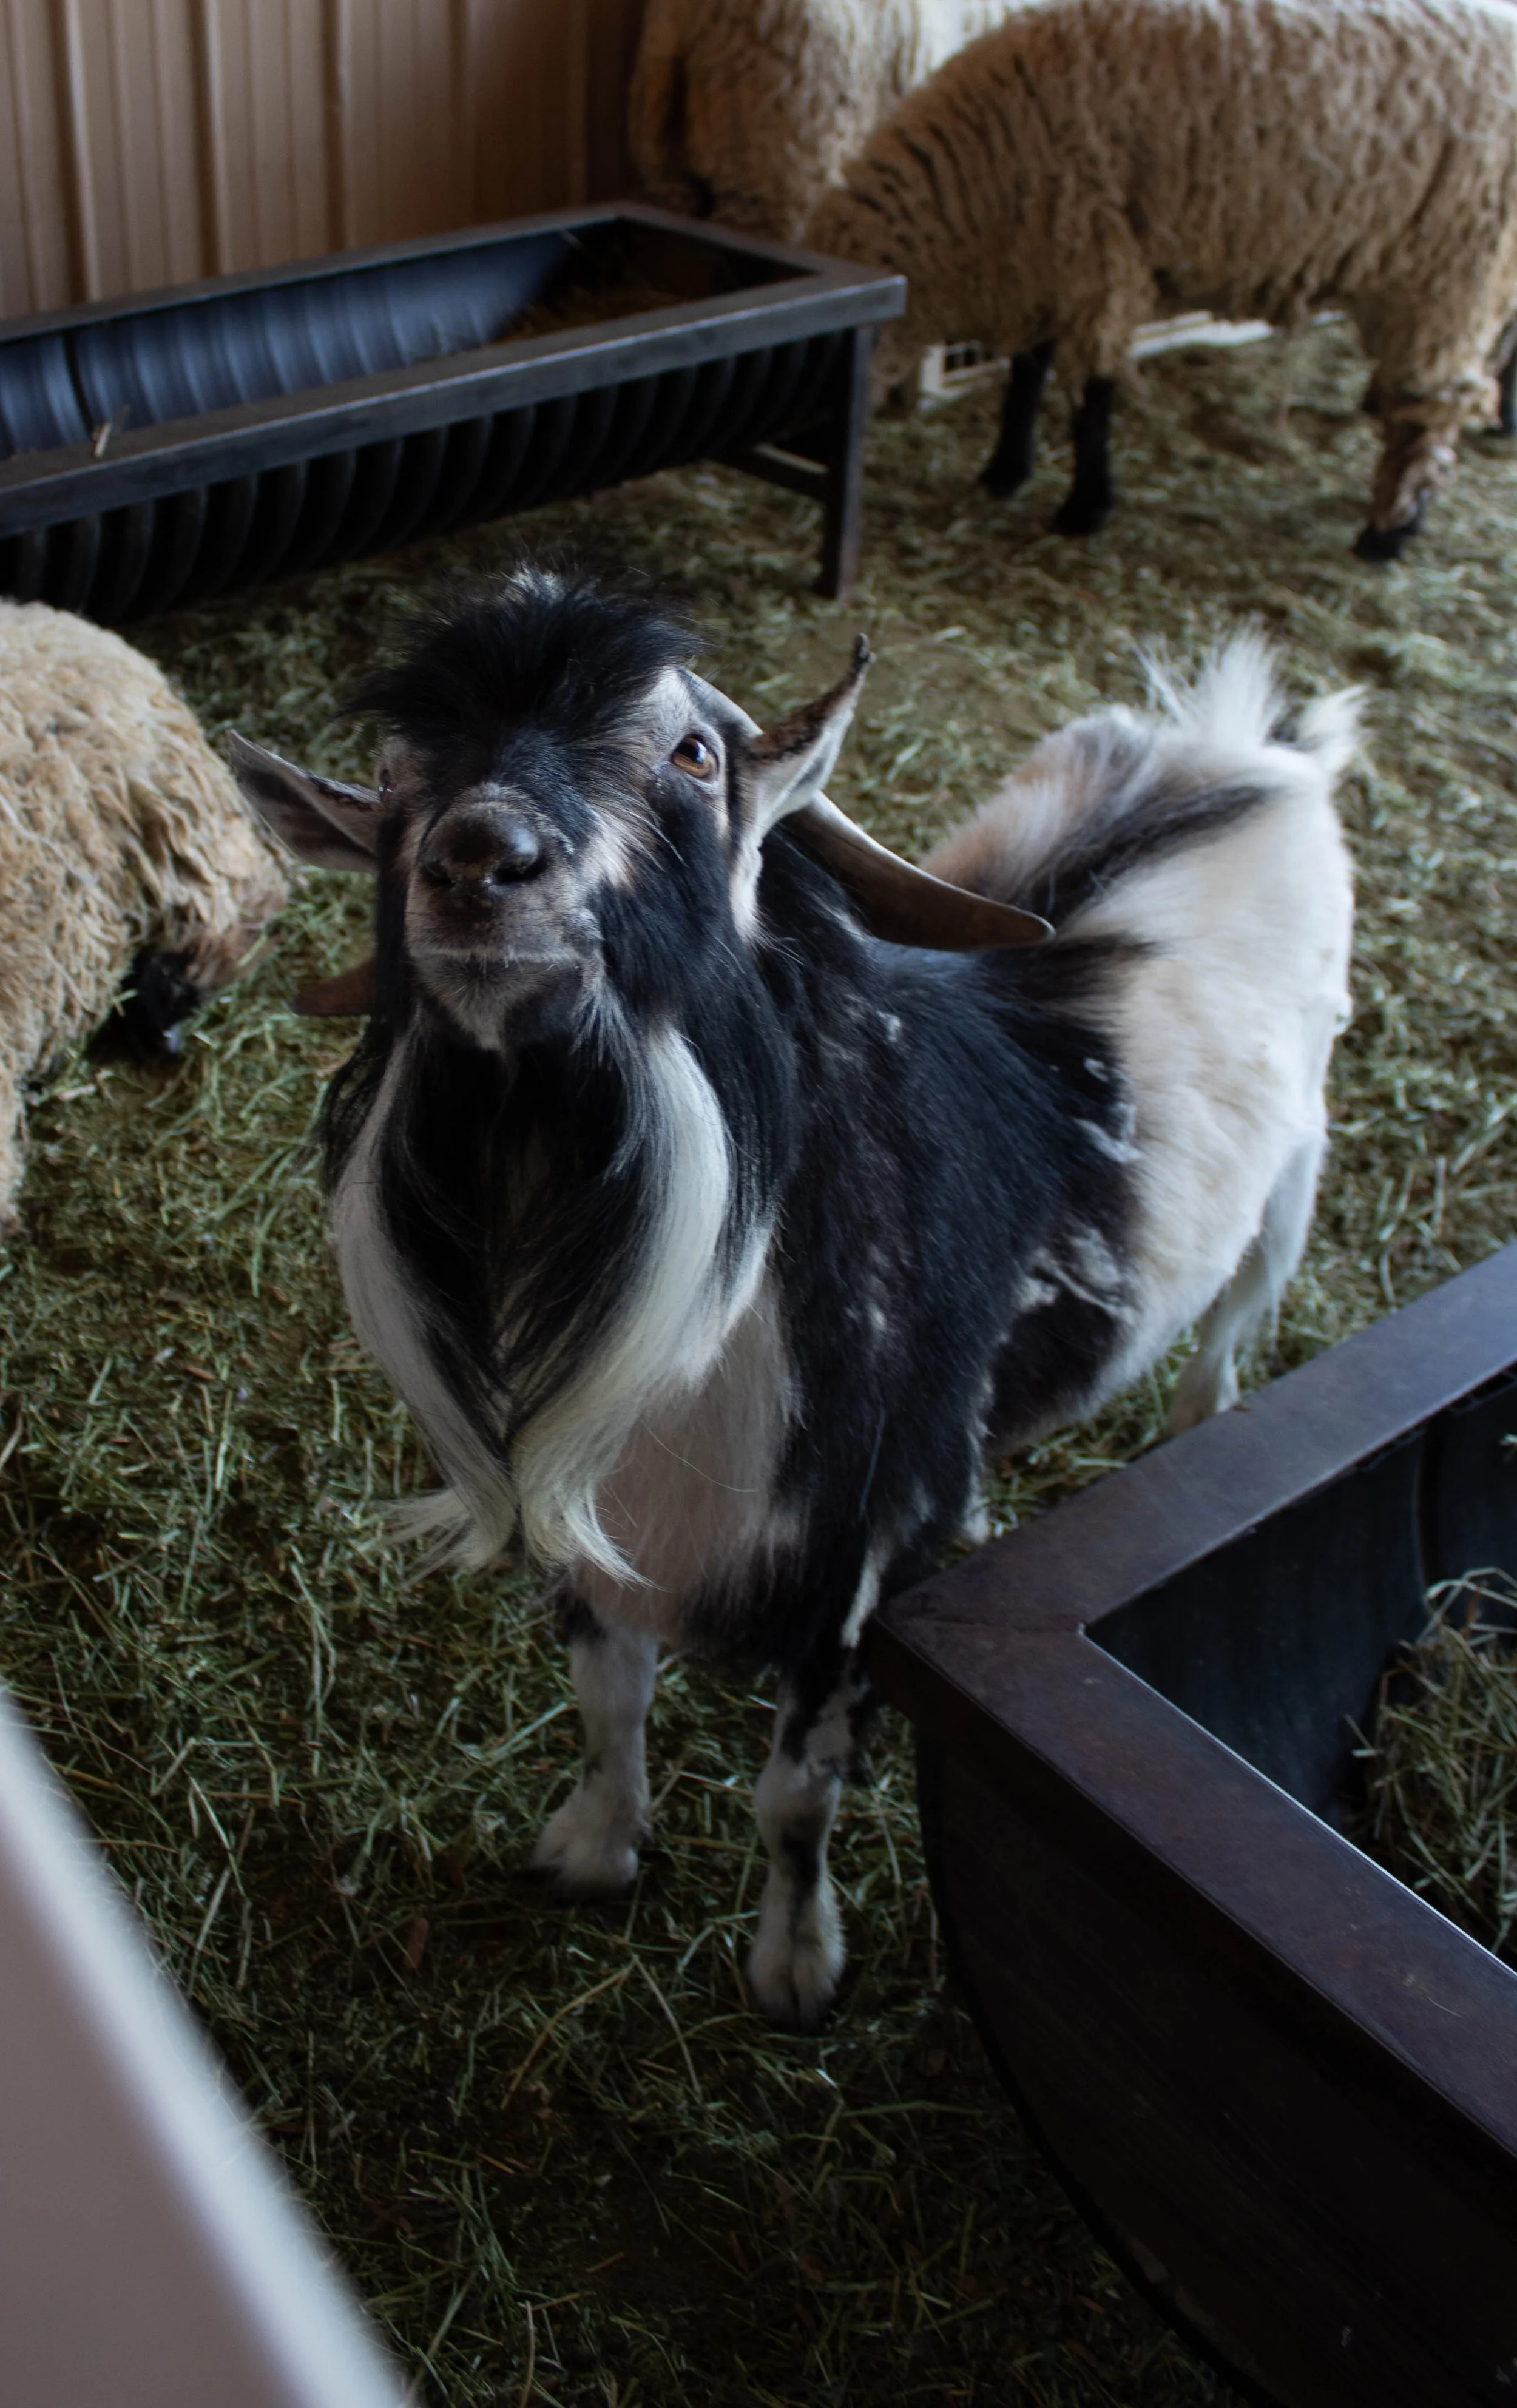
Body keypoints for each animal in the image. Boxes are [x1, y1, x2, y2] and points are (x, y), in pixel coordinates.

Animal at [230, 572, 1356, 2029]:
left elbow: (792, 1796)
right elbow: (607, 1704)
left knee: (1228, 1328)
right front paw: (591, 1851)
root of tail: (1244, 755)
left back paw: (1197, 1433)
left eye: (693, 753)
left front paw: (794, 1965)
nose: (479, 860)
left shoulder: (853, 1570)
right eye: (390, 772)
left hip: (1294, 1170)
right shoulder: (594, 1524)